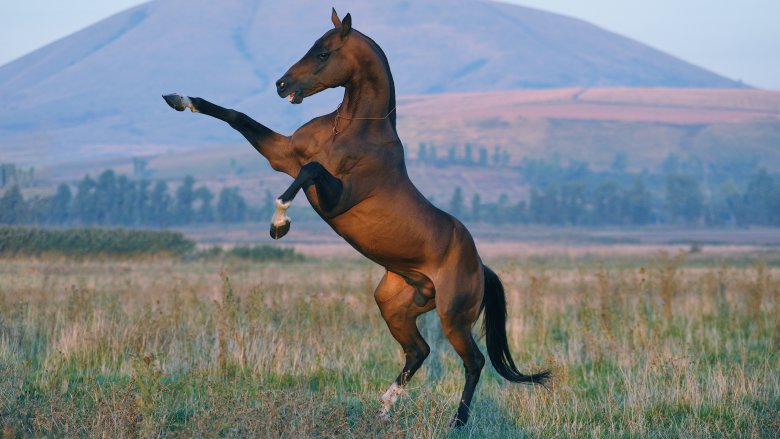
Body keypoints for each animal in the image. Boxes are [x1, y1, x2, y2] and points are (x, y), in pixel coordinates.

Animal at [161, 8, 548, 428]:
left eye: (324, 53)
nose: (281, 85)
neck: (349, 130)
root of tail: (481, 266)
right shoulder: (282, 155)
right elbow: (236, 115)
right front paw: (178, 99)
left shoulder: (333, 197)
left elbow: (311, 169)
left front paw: (280, 222)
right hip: (394, 305)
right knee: (418, 351)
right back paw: (382, 409)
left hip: (453, 317)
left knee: (473, 362)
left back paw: (455, 424)